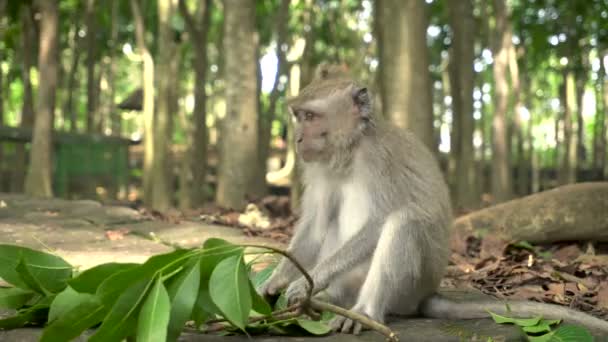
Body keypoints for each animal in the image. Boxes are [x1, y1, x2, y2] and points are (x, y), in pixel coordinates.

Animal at [258, 75, 608, 334]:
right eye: (300, 116)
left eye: (310, 116)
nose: (298, 139)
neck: (351, 150)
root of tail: (426, 296)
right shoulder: (318, 168)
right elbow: (316, 227)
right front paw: (275, 283)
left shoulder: (379, 160)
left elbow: (380, 221)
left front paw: (308, 281)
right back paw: (333, 297)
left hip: (412, 284)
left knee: (405, 221)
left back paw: (365, 311)